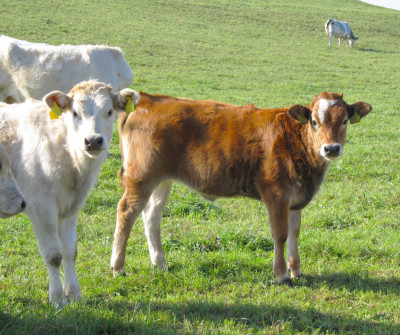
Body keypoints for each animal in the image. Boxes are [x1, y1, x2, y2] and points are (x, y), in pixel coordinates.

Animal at [0, 80, 141, 308]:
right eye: (75, 112)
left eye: (109, 111)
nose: (93, 140)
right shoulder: (41, 207)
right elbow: (53, 254)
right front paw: (57, 298)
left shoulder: (71, 208)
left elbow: (70, 251)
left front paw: (74, 294)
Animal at [110, 92, 372, 286]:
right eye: (315, 122)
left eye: (345, 121)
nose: (331, 148)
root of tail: (147, 100)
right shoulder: (276, 195)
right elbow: (280, 234)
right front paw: (281, 275)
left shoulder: (296, 198)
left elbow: (295, 232)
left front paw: (296, 270)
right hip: (141, 176)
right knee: (126, 213)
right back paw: (118, 267)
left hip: (162, 180)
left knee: (151, 216)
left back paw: (160, 263)